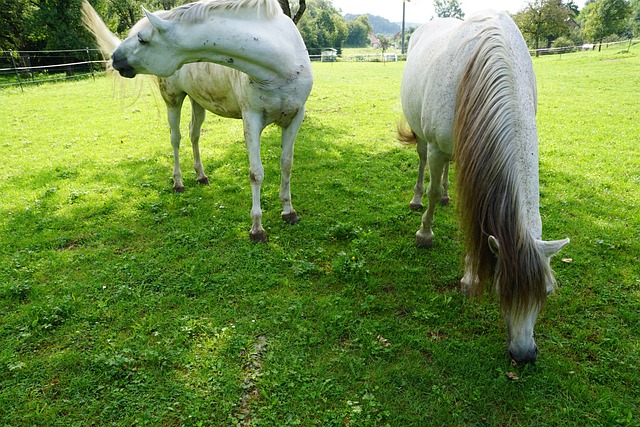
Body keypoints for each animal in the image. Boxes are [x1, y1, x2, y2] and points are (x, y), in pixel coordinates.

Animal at [81, 0, 312, 242]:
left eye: (142, 39)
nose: (115, 58)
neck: (282, 65)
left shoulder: (295, 117)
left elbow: (287, 164)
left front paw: (289, 211)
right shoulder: (252, 119)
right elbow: (256, 173)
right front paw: (257, 228)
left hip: (197, 102)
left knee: (194, 134)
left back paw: (201, 176)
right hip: (173, 100)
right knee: (176, 138)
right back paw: (178, 183)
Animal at [400, 11, 568, 362]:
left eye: (546, 292)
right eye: (502, 289)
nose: (525, 355)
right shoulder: (437, 148)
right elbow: (441, 195)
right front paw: (426, 234)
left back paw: (446, 194)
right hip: (422, 136)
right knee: (423, 164)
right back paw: (418, 199)